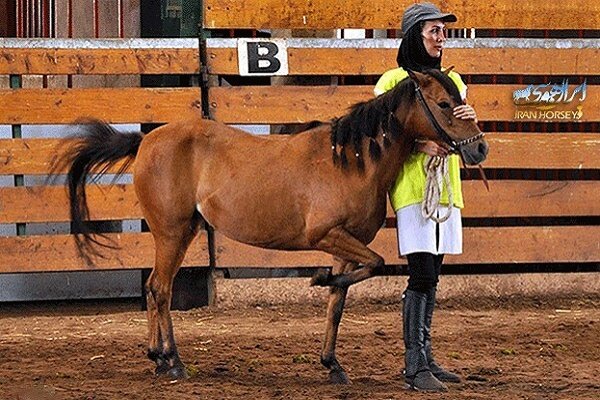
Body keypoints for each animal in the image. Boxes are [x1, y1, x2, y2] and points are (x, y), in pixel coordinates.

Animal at [55, 69, 488, 384]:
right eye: (444, 103)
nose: (480, 147)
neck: (351, 161)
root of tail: (146, 140)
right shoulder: (326, 236)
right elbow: (375, 264)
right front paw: (318, 279)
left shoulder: (346, 245)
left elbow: (340, 300)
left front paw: (332, 362)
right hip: (171, 232)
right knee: (160, 289)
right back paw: (172, 361)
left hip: (183, 232)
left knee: (152, 288)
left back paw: (158, 358)